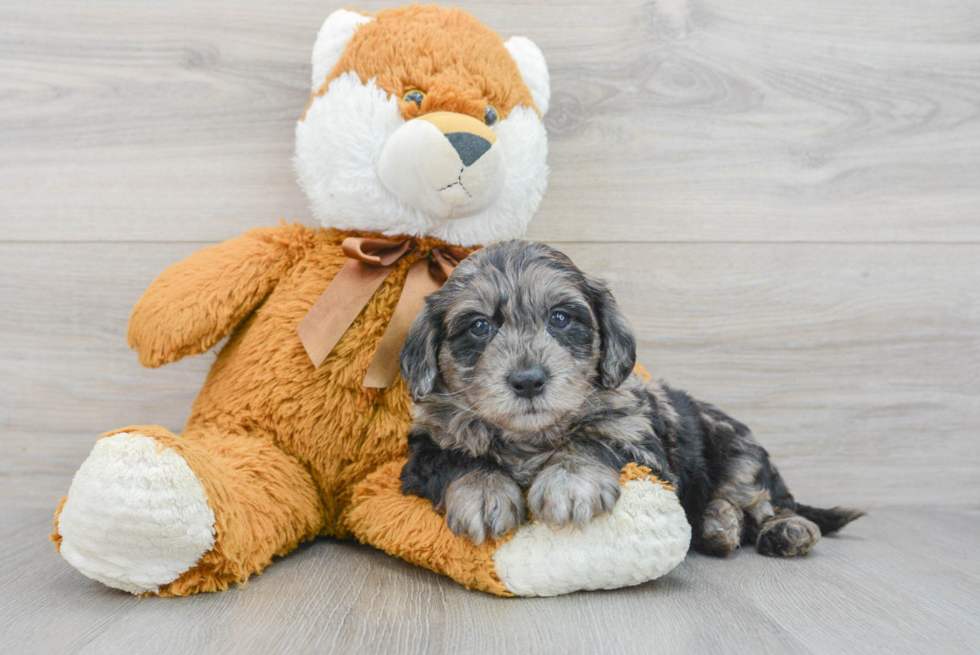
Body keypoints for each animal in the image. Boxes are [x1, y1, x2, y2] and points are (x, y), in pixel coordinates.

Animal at [394, 241, 860, 560]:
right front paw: (485, 492)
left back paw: (775, 530)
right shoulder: (423, 453)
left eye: (560, 318)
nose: (528, 381)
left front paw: (570, 482)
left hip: (738, 450)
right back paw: (719, 527)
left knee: (765, 503)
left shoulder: (640, 443)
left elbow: (590, 440)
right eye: (479, 326)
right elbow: (458, 459)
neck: (531, 437)